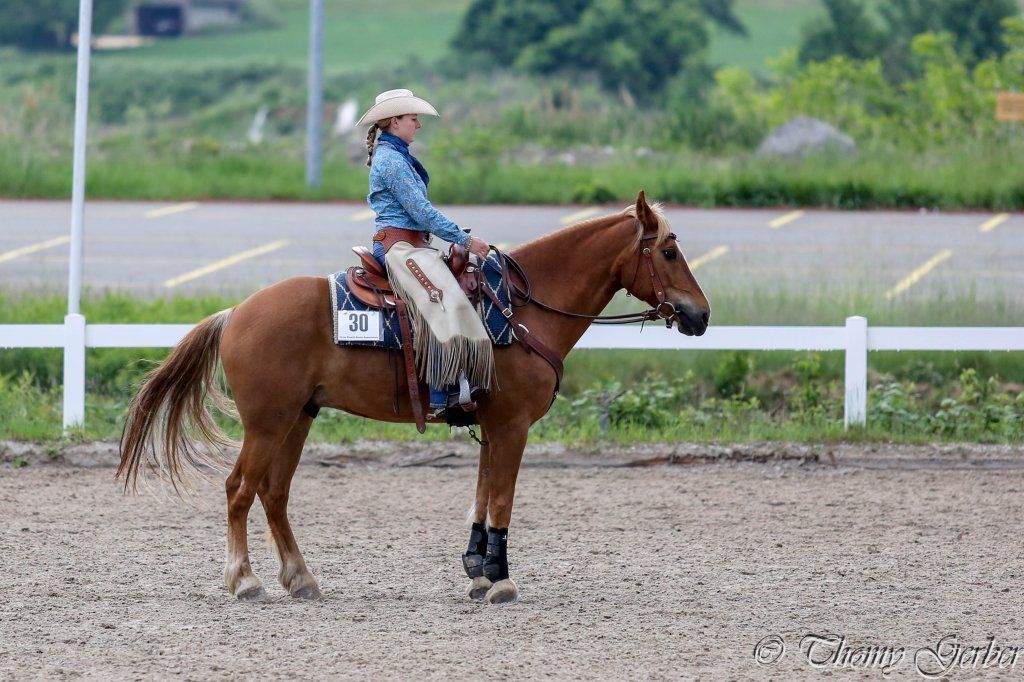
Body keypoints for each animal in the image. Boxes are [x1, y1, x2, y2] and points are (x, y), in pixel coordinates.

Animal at [117, 190, 711, 604]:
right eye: (669, 250)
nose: (701, 315)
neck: (519, 310)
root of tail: (235, 313)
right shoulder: (513, 425)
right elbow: (502, 499)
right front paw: (501, 582)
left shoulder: (492, 426)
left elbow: (482, 496)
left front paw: (478, 572)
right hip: (267, 423)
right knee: (240, 489)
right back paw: (244, 580)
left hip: (297, 419)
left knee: (274, 493)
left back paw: (302, 578)